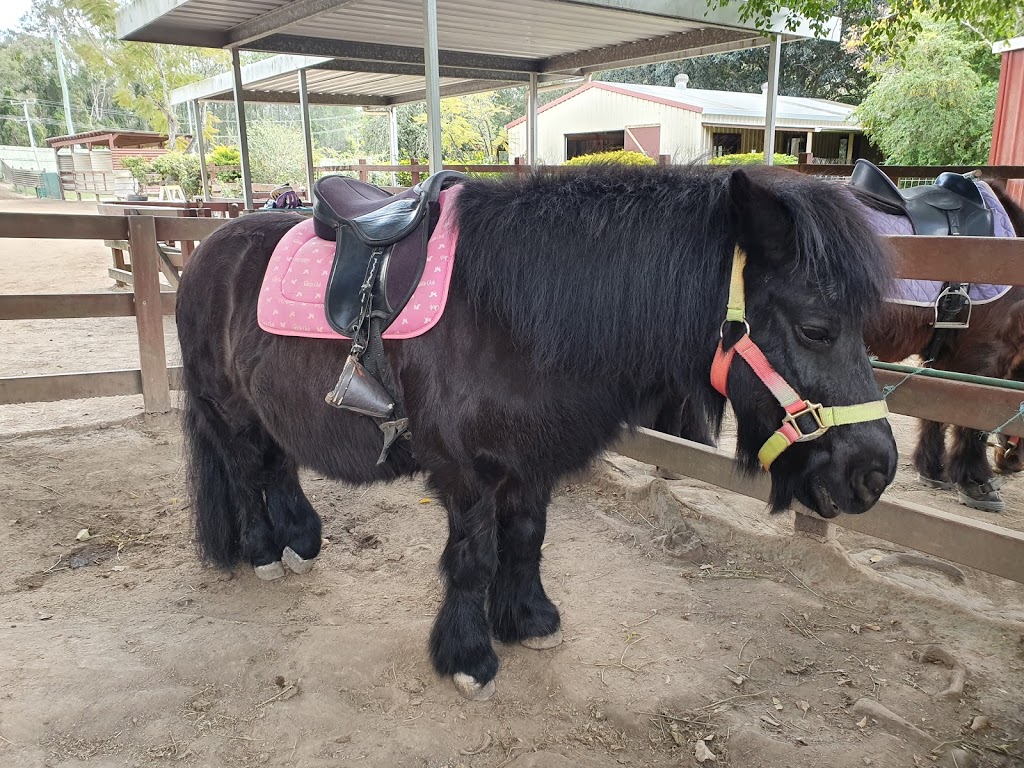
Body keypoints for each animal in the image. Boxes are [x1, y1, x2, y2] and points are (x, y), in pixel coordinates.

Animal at [176, 165, 897, 700]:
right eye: (816, 328)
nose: (875, 470)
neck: (508, 314)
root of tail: (207, 249)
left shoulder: (530, 464)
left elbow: (525, 541)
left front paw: (528, 621)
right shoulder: (463, 472)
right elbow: (473, 559)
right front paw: (468, 656)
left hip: (271, 409)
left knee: (278, 466)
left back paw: (300, 539)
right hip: (229, 410)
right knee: (245, 471)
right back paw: (263, 551)